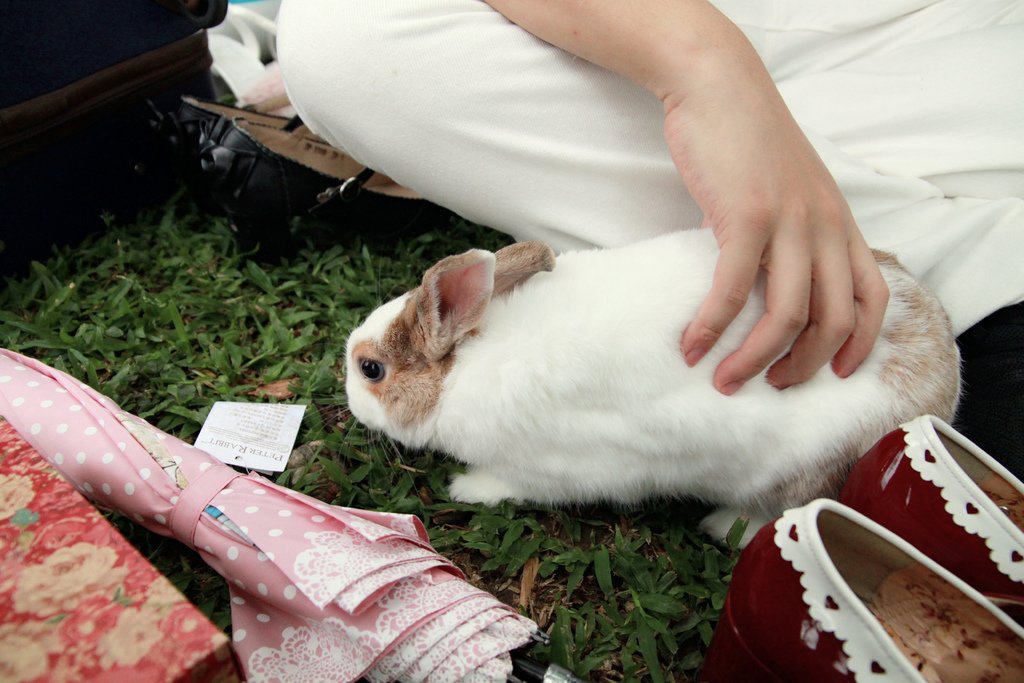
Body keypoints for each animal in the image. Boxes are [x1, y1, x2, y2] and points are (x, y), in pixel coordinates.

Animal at [344, 232, 958, 540]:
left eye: (371, 369)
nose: (346, 394)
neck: (461, 370)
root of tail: (943, 384)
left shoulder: (556, 465)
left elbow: (515, 485)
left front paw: (466, 489)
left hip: (800, 470)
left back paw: (723, 527)